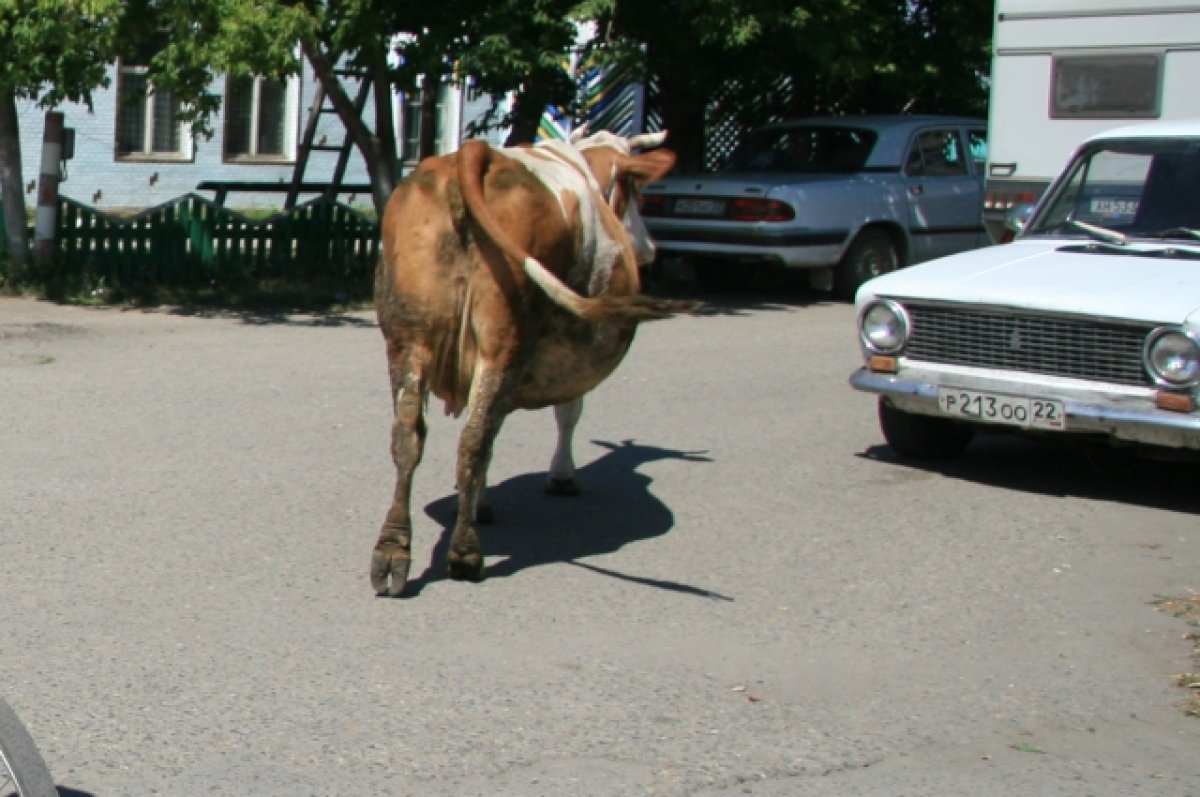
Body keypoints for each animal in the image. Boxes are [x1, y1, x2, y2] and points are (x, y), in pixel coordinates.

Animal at [369, 127, 700, 595]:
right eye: (636, 191)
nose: (651, 248)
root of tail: (477, 154)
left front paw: (478, 501)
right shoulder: (566, 353)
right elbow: (566, 413)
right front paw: (561, 477)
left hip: (409, 335)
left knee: (408, 435)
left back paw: (393, 552)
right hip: (505, 339)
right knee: (473, 440)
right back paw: (465, 554)